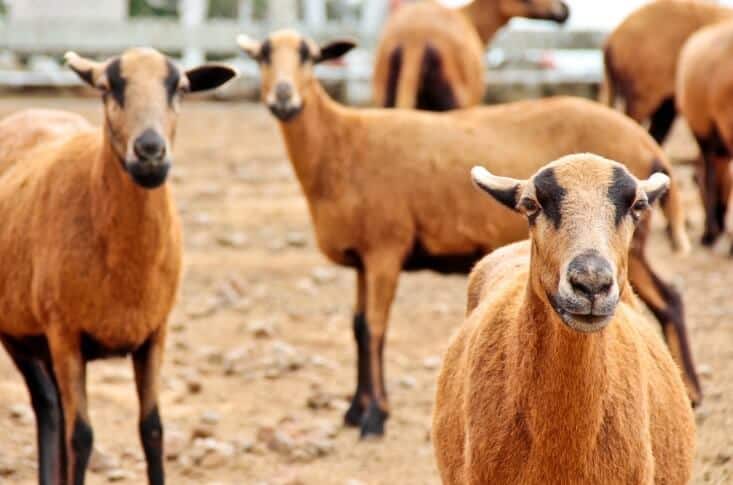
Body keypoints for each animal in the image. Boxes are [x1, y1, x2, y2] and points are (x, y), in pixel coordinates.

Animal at [0, 49, 236, 484]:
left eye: (181, 88)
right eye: (107, 87)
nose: (150, 151)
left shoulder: (155, 331)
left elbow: (153, 430)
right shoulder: (65, 332)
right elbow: (82, 436)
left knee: (54, 408)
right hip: (22, 328)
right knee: (49, 409)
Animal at [237, 29, 699, 438]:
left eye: (309, 57)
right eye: (262, 56)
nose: (283, 99)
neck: (341, 143)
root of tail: (647, 145)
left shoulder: (386, 249)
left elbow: (376, 328)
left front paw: (375, 418)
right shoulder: (362, 261)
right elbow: (357, 327)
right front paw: (355, 409)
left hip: (628, 252)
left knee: (670, 299)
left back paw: (691, 392)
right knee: (671, 299)